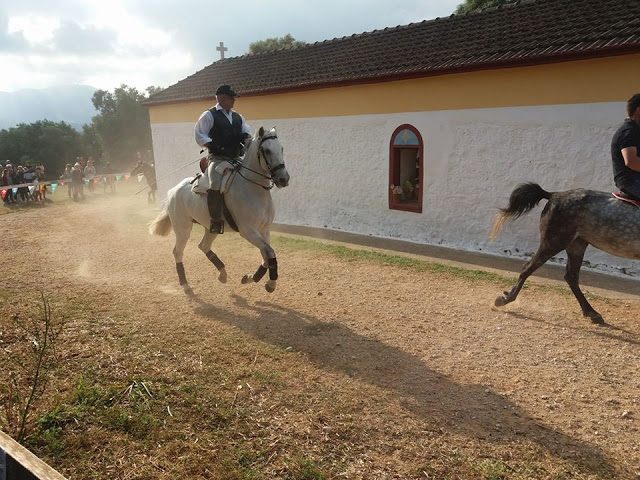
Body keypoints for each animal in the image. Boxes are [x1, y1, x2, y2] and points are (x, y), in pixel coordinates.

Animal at [149, 126, 288, 292]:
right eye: (267, 150)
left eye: (281, 148)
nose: (283, 179)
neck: (253, 189)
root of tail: (173, 190)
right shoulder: (248, 231)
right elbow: (269, 252)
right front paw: (270, 283)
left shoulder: (264, 230)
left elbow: (266, 256)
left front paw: (250, 278)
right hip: (183, 228)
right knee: (178, 252)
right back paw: (186, 285)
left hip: (211, 227)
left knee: (203, 246)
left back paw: (222, 274)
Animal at [492, 182, 636, 324]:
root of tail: (554, 195)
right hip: (554, 241)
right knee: (528, 267)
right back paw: (505, 299)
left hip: (576, 244)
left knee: (571, 276)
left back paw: (592, 313)